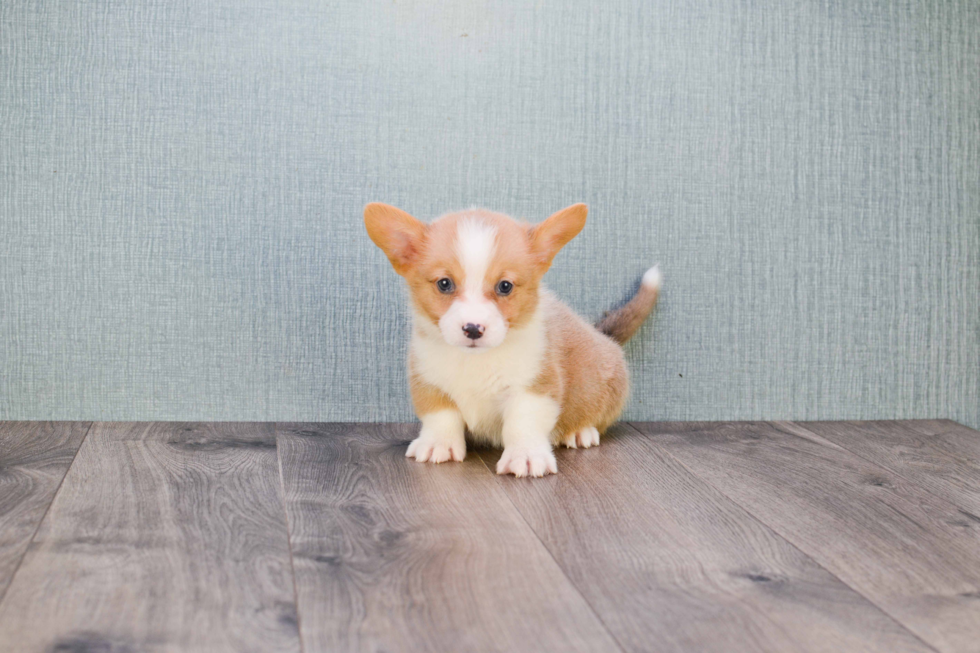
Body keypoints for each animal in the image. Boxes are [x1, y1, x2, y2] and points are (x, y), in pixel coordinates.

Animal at [364, 204, 664, 478]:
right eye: (444, 284)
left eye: (505, 286)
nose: (473, 329)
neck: (476, 360)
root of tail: (600, 334)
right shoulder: (429, 382)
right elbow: (441, 416)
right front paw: (439, 444)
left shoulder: (534, 388)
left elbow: (522, 423)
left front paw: (526, 456)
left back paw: (580, 431)